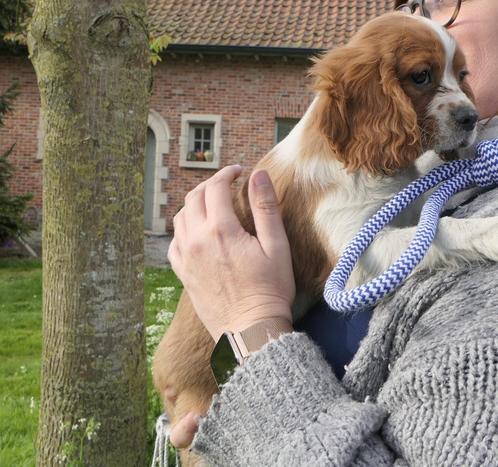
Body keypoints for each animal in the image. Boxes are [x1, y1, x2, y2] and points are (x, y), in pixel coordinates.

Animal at [154, 12, 496, 466]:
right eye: (421, 76)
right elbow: (440, 229)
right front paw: (492, 230)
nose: (472, 117)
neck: (367, 165)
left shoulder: (398, 207)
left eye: (462, 75)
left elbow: (429, 196)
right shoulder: (355, 256)